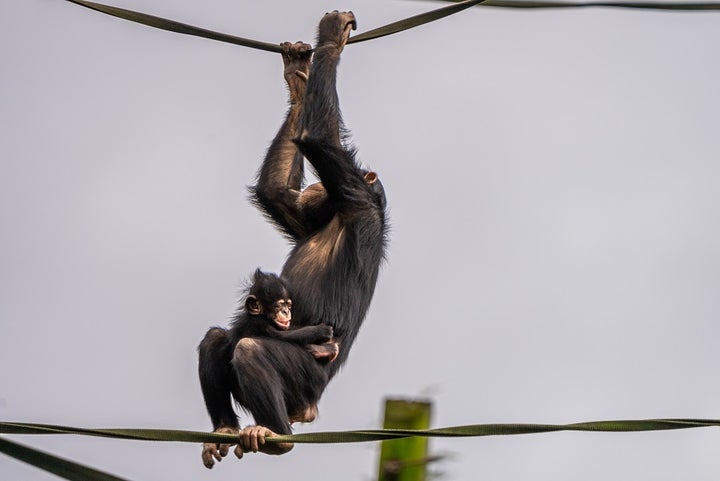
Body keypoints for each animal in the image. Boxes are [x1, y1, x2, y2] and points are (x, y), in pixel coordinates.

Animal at [197, 11, 388, 466]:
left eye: (322, 182)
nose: (314, 188)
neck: (337, 211)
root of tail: (310, 409)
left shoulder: (353, 193)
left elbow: (317, 137)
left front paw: (332, 38)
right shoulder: (309, 215)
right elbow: (278, 194)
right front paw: (298, 76)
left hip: (303, 380)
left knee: (250, 350)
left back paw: (275, 436)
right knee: (217, 339)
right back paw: (224, 429)